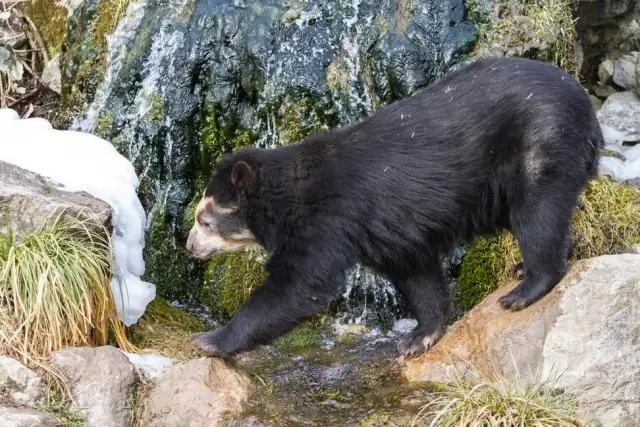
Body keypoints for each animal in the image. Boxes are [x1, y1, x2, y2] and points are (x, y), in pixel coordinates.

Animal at [184, 56, 600, 358]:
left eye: (204, 220)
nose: (189, 246)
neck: (290, 195)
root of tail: (583, 100)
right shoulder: (388, 231)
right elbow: (416, 273)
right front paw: (419, 337)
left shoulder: (329, 220)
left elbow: (298, 283)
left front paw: (210, 340)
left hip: (540, 146)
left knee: (538, 213)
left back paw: (525, 288)